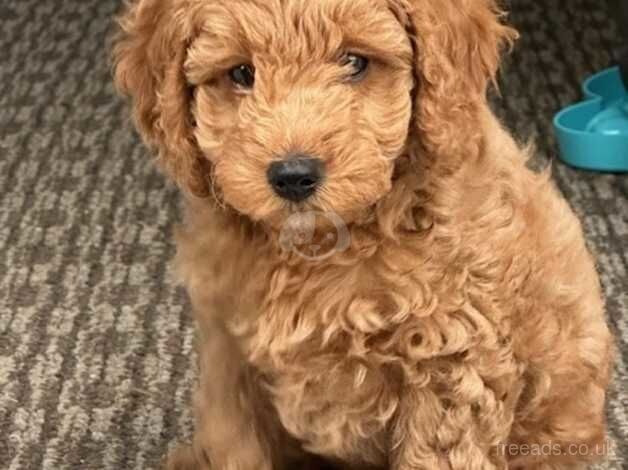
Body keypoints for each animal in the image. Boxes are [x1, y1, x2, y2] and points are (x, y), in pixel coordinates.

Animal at [113, 0, 612, 470]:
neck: (320, 244)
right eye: (241, 73)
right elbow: (236, 446)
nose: (293, 175)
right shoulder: (230, 355)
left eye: (355, 62)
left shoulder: (450, 363)